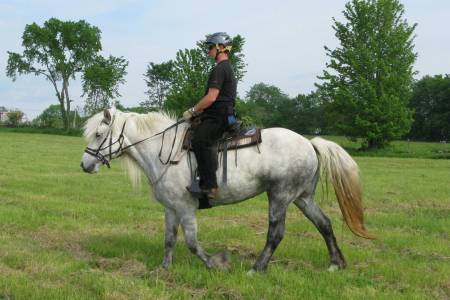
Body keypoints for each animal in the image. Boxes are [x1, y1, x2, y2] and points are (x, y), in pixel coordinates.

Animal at [80, 106, 372, 274]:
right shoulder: (171, 208)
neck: (164, 152)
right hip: (302, 198)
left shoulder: (185, 207)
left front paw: (218, 263)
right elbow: (169, 240)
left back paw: (257, 268)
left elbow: (192, 243)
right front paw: (163, 270)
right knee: (325, 224)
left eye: (98, 135)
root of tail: (309, 143)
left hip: (280, 196)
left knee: (275, 234)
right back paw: (335, 263)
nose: (84, 165)